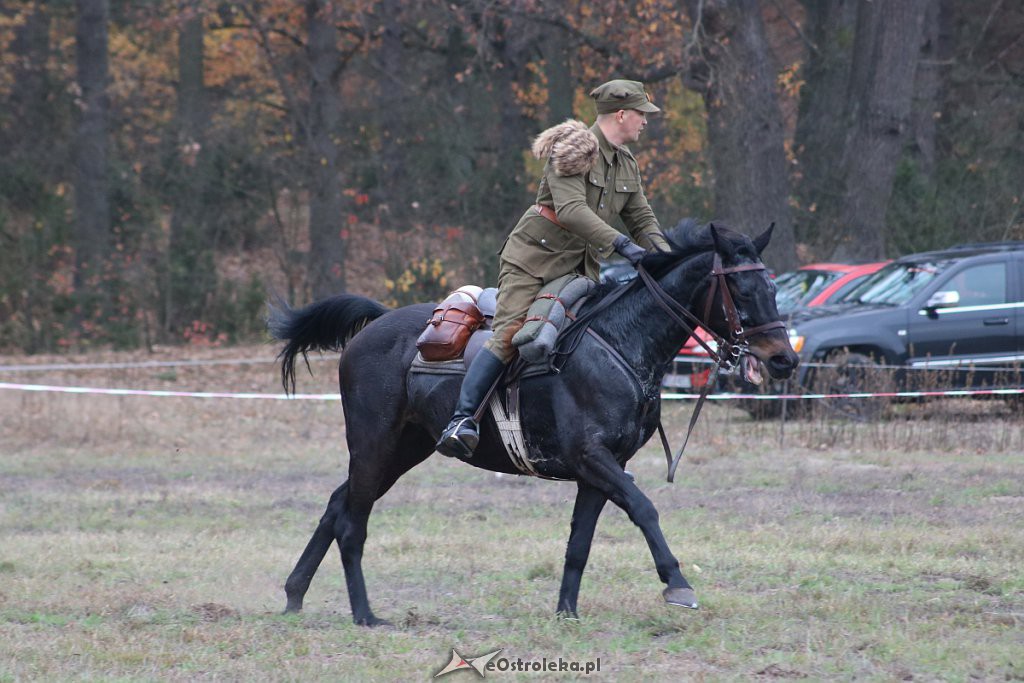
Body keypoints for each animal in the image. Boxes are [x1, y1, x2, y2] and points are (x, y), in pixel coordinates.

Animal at [268, 222, 794, 626]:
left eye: (773, 288)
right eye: (742, 290)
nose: (783, 359)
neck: (620, 342)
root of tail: (377, 323)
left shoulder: (600, 471)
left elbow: (580, 543)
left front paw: (566, 612)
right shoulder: (594, 458)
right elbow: (645, 510)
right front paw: (678, 583)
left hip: (402, 449)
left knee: (338, 505)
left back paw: (295, 594)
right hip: (375, 445)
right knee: (352, 522)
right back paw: (364, 614)